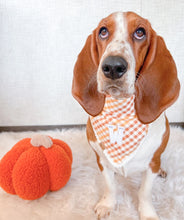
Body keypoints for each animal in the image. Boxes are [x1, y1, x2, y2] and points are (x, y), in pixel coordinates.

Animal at [71, 11, 180, 219]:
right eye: (103, 31)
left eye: (140, 32)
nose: (113, 66)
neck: (120, 113)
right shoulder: (102, 162)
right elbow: (110, 187)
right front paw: (107, 205)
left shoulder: (151, 164)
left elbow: (144, 192)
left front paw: (148, 214)